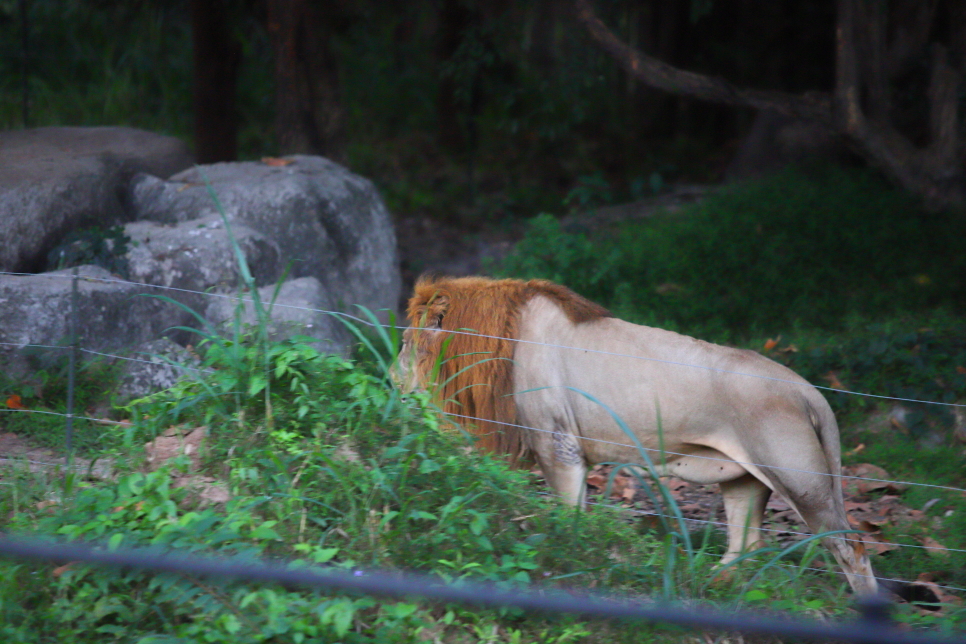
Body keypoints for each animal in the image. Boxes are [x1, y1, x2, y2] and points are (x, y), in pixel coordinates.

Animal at [392, 274, 876, 596]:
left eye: (405, 343)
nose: (392, 380)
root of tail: (809, 391)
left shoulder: (557, 444)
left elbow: (569, 516)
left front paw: (571, 557)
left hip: (801, 480)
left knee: (850, 545)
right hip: (743, 480)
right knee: (745, 546)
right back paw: (709, 587)